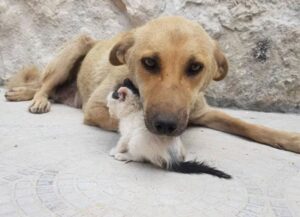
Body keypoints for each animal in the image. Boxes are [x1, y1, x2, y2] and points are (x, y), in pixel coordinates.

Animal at [4, 16, 300, 153]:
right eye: (149, 62)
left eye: (196, 67)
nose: (166, 125)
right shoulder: (96, 108)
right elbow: (125, 120)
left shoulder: (203, 112)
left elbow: (246, 124)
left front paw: (289, 139)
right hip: (76, 47)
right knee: (44, 85)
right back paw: (37, 100)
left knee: (43, 87)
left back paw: (18, 92)